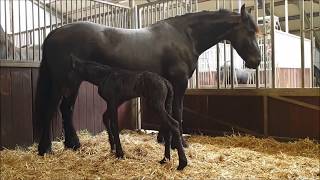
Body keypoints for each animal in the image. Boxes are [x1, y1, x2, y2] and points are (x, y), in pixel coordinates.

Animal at [35, 4, 262, 156]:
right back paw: (46, 149)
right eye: (250, 31)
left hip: (73, 83)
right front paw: (179, 142)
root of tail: (53, 34)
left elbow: (167, 110)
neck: (184, 36)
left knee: (66, 109)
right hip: (61, 82)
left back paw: (73, 144)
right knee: (50, 109)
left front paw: (163, 139)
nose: (257, 61)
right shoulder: (179, 83)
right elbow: (177, 111)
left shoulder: (167, 84)